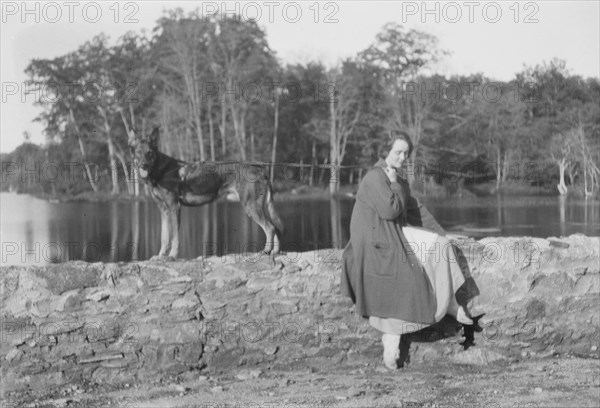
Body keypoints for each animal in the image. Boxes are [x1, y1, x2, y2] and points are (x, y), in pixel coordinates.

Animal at [129, 127, 284, 260]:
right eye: (138, 152)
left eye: (149, 152)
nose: (143, 165)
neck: (162, 171)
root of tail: (260, 169)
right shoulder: (163, 210)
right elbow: (164, 237)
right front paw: (161, 256)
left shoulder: (174, 208)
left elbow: (175, 238)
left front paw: (172, 256)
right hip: (260, 208)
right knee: (274, 228)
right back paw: (274, 252)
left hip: (251, 207)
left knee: (270, 228)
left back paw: (265, 251)